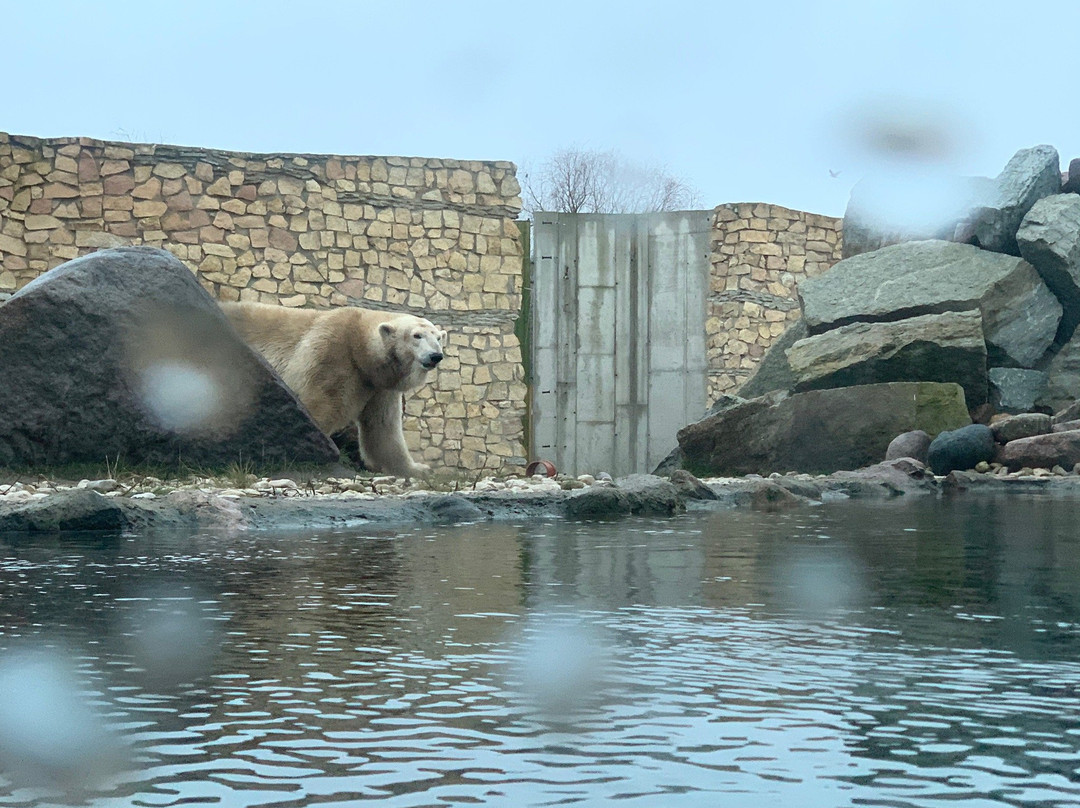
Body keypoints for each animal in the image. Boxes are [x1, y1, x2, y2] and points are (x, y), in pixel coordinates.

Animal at [221, 302, 444, 479]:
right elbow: (319, 407)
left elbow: (383, 428)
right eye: (417, 335)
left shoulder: (379, 387)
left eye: (438, 338)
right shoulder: (331, 356)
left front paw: (418, 469)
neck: (359, 347)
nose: (436, 356)